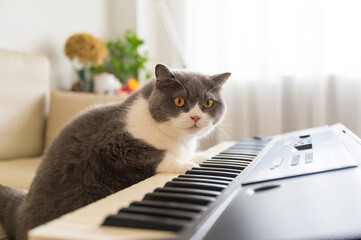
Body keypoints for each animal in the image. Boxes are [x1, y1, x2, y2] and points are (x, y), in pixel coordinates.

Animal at [0, 63, 231, 240]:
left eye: (208, 103)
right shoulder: (114, 147)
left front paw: (201, 156)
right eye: (179, 101)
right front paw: (185, 164)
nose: (195, 117)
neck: (178, 140)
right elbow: (159, 155)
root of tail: (19, 210)